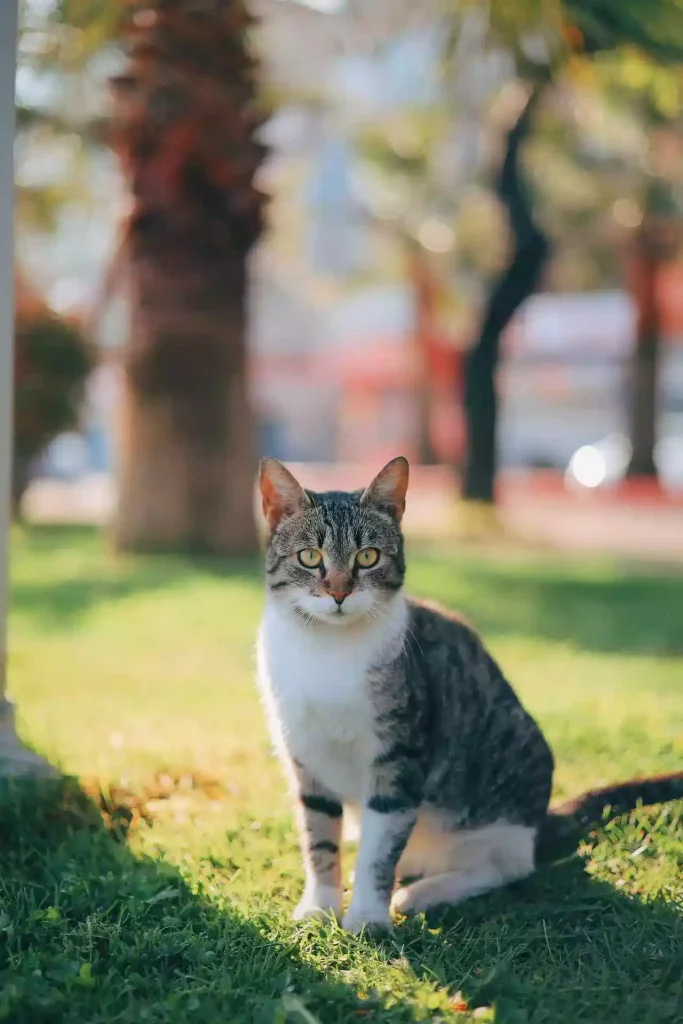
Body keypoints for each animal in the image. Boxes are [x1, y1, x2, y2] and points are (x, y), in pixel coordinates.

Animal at [255, 460, 683, 933]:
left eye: (367, 557)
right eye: (310, 557)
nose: (338, 592)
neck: (328, 651)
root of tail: (537, 825)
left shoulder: (399, 756)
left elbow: (377, 852)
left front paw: (367, 916)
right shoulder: (305, 758)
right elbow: (318, 839)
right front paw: (319, 906)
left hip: (498, 808)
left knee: (504, 868)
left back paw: (420, 894)